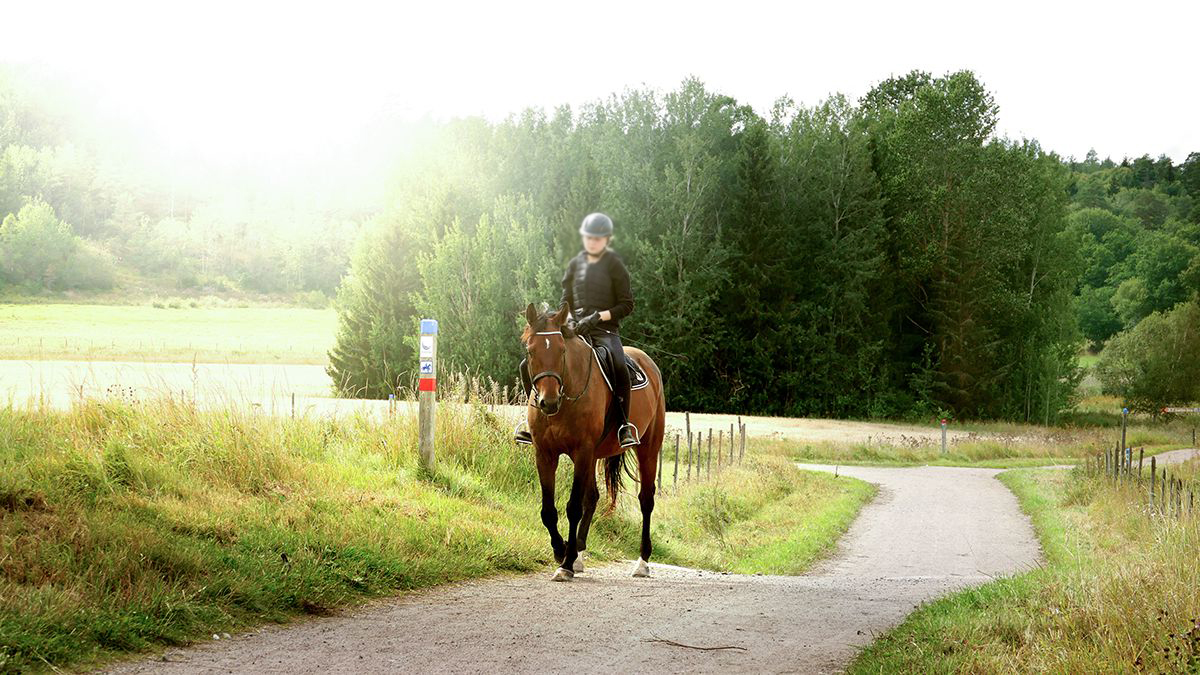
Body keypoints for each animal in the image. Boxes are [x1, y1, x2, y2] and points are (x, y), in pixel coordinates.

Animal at [518, 302, 667, 581]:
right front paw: (561, 551)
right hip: (595, 456)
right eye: (531, 351)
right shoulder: (545, 453)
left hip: (648, 449)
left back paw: (642, 562)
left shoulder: (582, 451)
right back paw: (578, 552)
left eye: (562, 350)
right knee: (594, 498)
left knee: (646, 499)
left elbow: (574, 506)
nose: (548, 402)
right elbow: (548, 510)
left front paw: (565, 563)